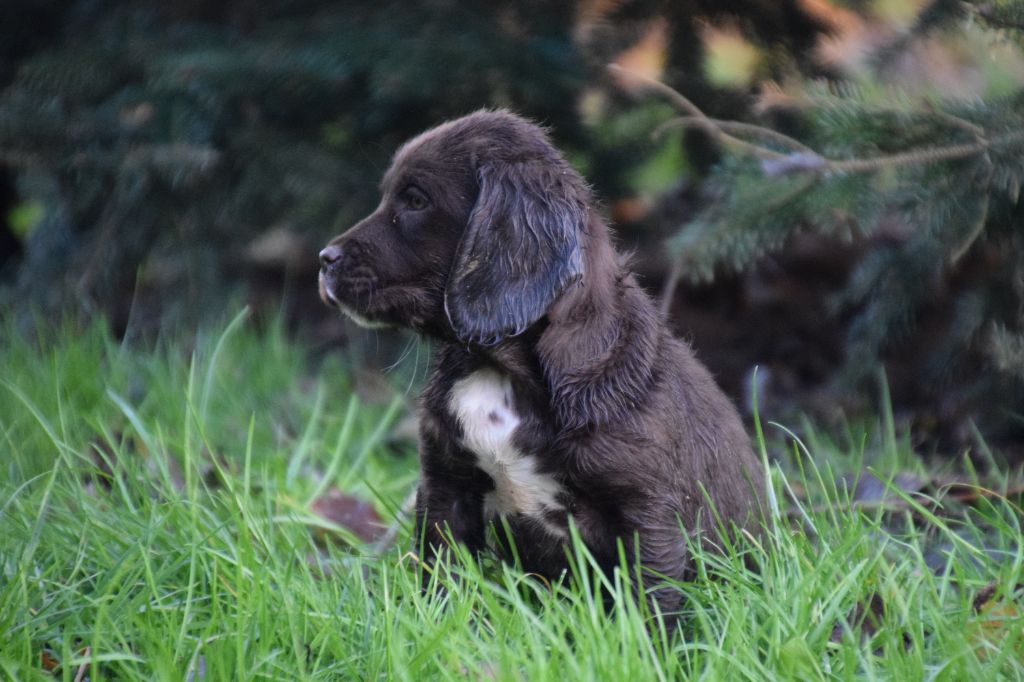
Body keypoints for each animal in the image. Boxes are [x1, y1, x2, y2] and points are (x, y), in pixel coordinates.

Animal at [319, 110, 764, 617]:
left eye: (415, 200)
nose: (324, 259)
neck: (501, 368)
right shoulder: (446, 486)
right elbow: (442, 577)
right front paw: (435, 626)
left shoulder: (649, 512)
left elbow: (650, 603)